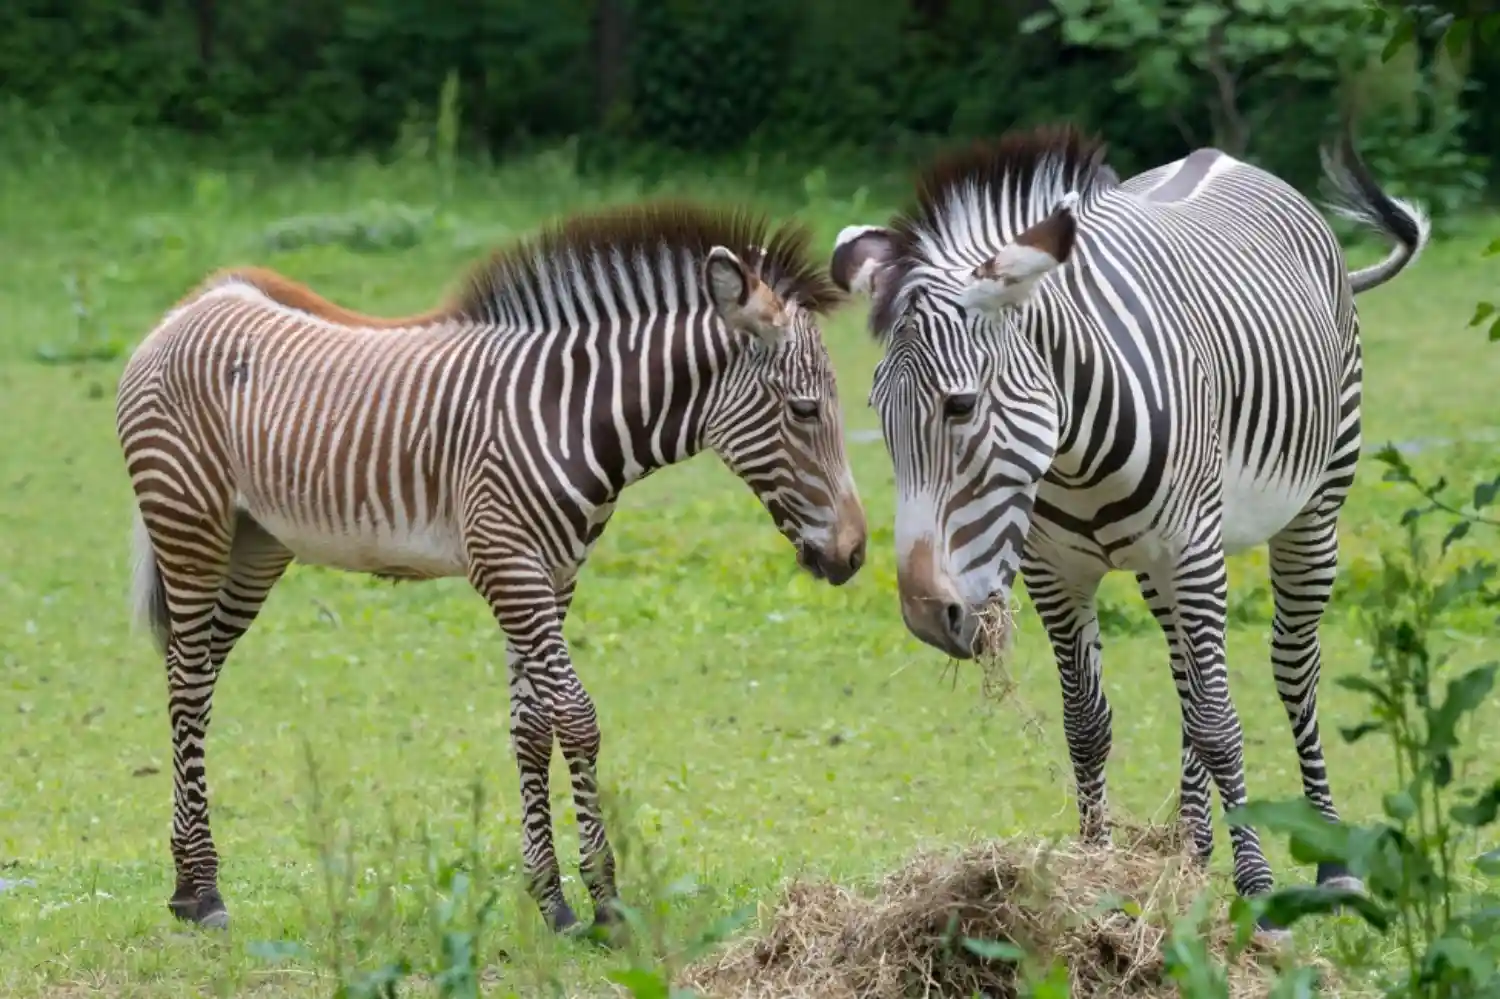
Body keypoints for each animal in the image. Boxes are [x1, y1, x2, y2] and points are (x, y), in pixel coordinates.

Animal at [114, 202, 870, 936]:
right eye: (805, 409)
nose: (855, 554)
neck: (572, 418)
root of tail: (192, 305)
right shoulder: (506, 563)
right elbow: (577, 717)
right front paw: (607, 901)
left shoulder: (552, 574)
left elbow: (532, 725)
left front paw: (551, 900)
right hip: (189, 521)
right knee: (186, 681)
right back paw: (204, 891)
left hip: (256, 544)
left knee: (197, 675)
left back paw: (184, 883)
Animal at [834, 122, 1428, 936]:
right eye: (877, 414)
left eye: (960, 406)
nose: (929, 616)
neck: (1073, 449)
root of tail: (1226, 159)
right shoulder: (1056, 571)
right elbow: (1088, 722)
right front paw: (1094, 875)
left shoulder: (1190, 552)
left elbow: (1220, 723)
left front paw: (1258, 894)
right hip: (1161, 565)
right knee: (1185, 678)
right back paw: (1191, 850)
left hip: (1313, 510)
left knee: (1290, 669)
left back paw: (1331, 862)